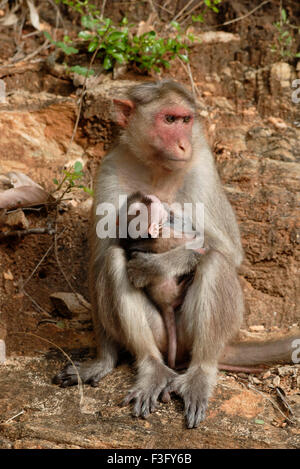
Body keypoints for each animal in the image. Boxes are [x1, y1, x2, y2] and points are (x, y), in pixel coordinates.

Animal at [118, 191, 205, 370]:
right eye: (153, 203)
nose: (152, 196)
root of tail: (165, 305)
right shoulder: (167, 235)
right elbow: (190, 241)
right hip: (168, 290)